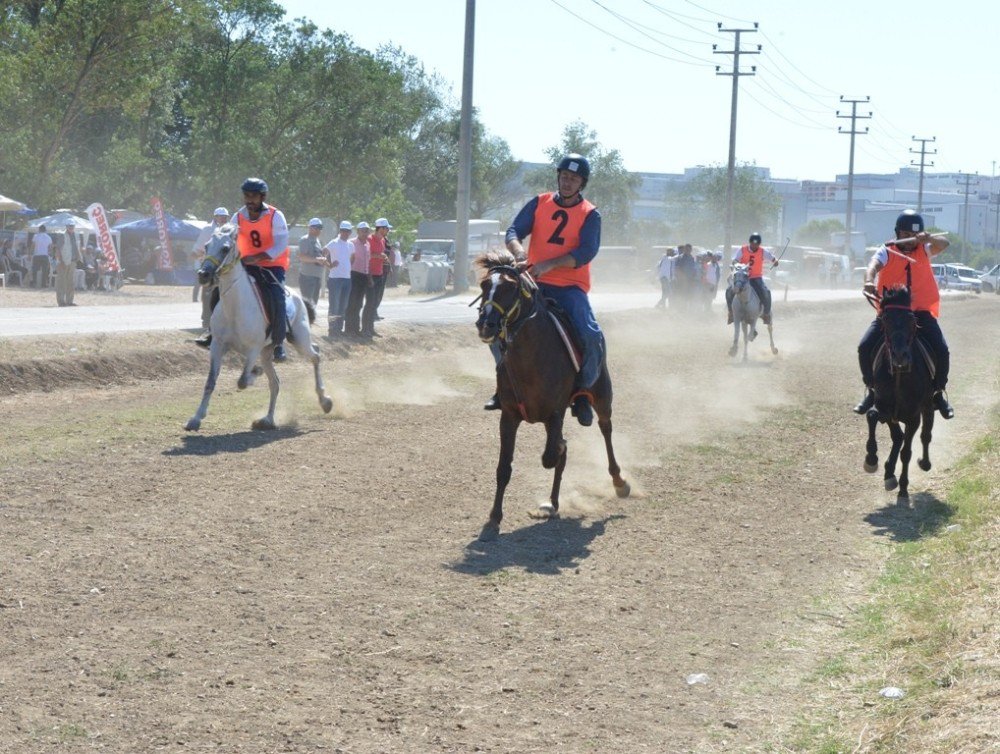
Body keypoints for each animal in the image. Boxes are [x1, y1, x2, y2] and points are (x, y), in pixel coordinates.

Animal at [189, 223, 338, 432]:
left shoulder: (253, 349)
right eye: (207, 245)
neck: (235, 307)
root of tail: (298, 297)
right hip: (267, 352)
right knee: (275, 383)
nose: (203, 274)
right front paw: (196, 418)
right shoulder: (217, 346)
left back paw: (325, 401)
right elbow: (210, 382)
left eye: (225, 248)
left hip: (299, 339)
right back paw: (267, 419)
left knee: (315, 355)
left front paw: (255, 372)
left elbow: (243, 380)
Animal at [474, 251, 628, 540]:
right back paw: (553, 503)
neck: (531, 356)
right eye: (484, 284)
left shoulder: (555, 414)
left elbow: (550, 456)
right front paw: (493, 519)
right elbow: (504, 468)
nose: (486, 324)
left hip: (603, 396)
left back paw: (619, 481)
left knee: (606, 430)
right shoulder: (509, 417)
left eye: (510, 287)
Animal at [864, 284, 932, 502]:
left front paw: (903, 487)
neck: (900, 376)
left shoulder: (913, 417)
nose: (900, 355)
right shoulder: (885, 408)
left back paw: (924, 463)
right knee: (898, 437)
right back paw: (888, 473)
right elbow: (872, 415)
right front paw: (871, 459)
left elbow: (907, 452)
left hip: (928, 405)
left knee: (925, 435)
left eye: (911, 319)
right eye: (885, 319)